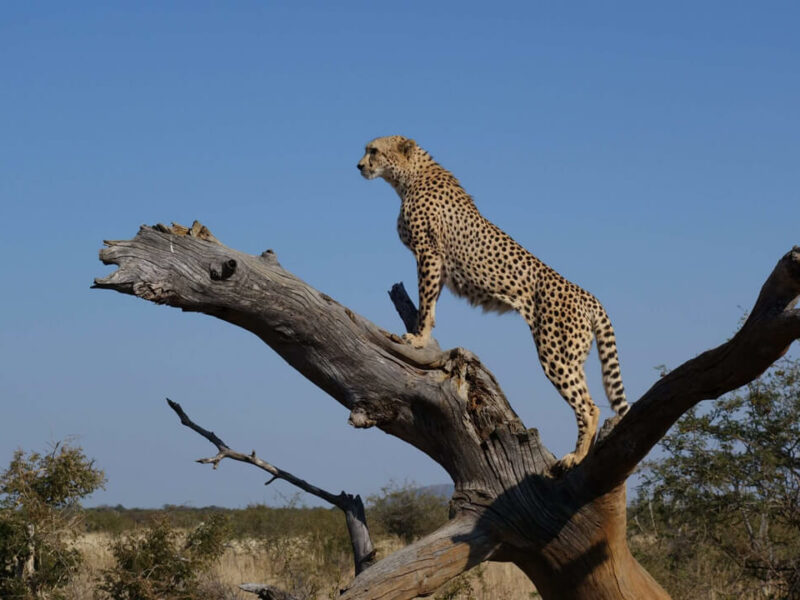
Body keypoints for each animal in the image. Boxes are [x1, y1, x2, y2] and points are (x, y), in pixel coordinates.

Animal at [357, 135, 630, 469]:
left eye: (373, 151)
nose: (359, 165)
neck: (409, 176)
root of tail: (587, 295)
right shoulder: (437, 262)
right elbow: (430, 305)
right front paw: (423, 333)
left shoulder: (429, 254)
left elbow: (426, 301)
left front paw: (418, 339)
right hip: (574, 356)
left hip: (556, 353)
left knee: (590, 406)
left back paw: (575, 457)